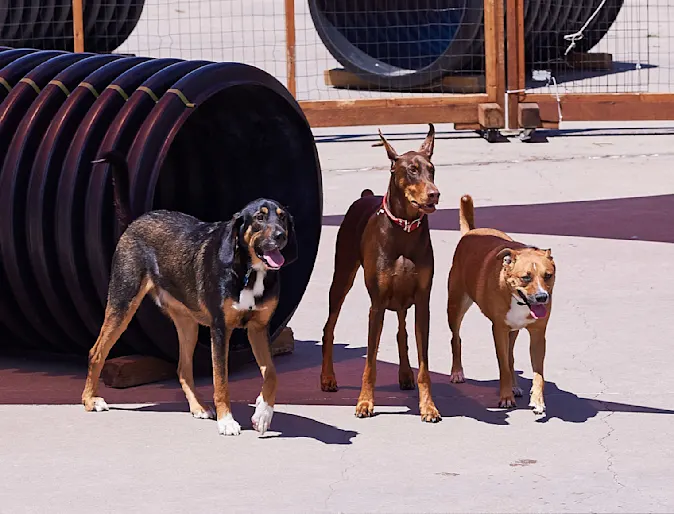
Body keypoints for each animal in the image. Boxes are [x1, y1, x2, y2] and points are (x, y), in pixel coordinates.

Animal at [320, 124, 440, 420]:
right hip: (342, 278)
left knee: (401, 332)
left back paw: (405, 374)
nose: (435, 193)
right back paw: (327, 377)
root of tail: (365, 196)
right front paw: (364, 402)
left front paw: (428, 405)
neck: (404, 228)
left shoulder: (423, 302)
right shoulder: (376, 303)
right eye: (412, 170)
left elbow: (424, 365)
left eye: (432, 169)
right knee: (329, 328)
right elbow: (370, 363)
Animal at [446, 194, 556, 414]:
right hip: (455, 305)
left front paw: (538, 400)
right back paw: (457, 372)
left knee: (511, 355)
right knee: (456, 338)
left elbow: (538, 371)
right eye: (525, 277)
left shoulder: (538, 334)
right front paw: (505, 397)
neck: (518, 301)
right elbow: (503, 365)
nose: (542, 297)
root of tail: (470, 232)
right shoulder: (498, 329)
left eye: (548, 275)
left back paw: (514, 385)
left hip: (513, 330)